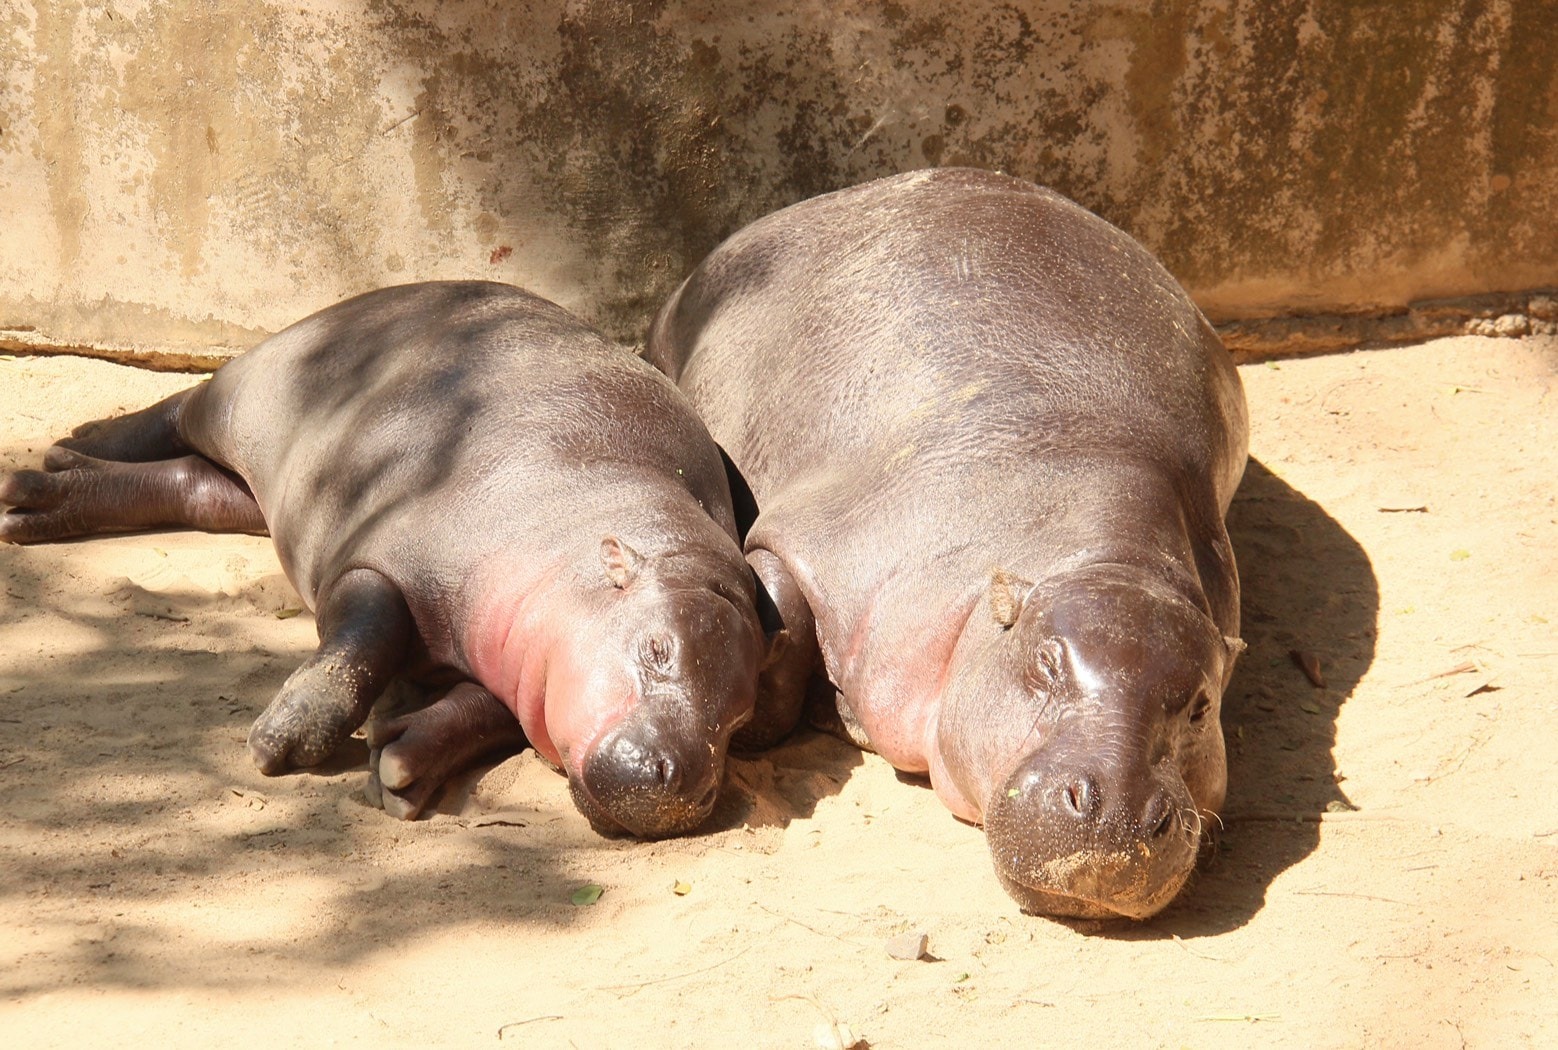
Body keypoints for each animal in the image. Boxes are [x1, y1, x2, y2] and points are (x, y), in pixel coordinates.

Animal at [0, 281, 765, 837]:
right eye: (657, 649)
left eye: (738, 722)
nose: (683, 782)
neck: (585, 533)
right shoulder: (375, 561)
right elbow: (362, 643)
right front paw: (282, 744)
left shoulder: (522, 670)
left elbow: (483, 711)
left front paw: (400, 765)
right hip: (247, 387)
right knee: (178, 407)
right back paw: (63, 451)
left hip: (264, 488)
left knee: (191, 486)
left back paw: (45, 490)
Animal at [646, 169, 1249, 918]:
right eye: (1044, 662)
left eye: (1201, 705)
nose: (1116, 812)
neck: (1106, 559)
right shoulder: (828, 545)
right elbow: (779, 617)